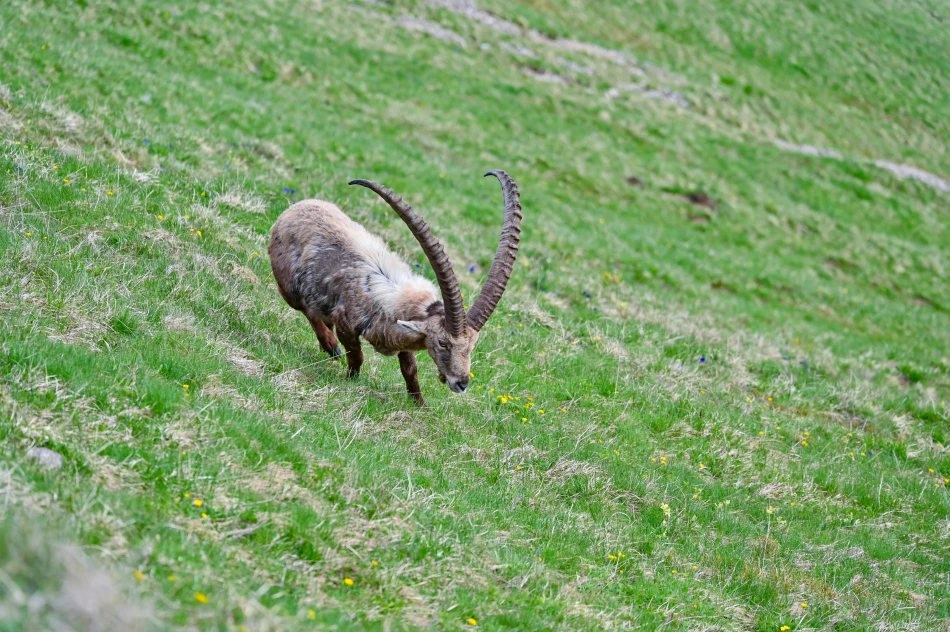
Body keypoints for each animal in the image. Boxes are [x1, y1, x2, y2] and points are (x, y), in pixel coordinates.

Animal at [268, 171, 522, 405]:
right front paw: (350, 380)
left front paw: (419, 404)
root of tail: (294, 209)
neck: (392, 301)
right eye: (443, 343)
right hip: (290, 289)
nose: (461, 383)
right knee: (308, 311)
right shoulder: (346, 324)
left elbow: (410, 369)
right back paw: (331, 347)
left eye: (472, 345)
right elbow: (357, 355)